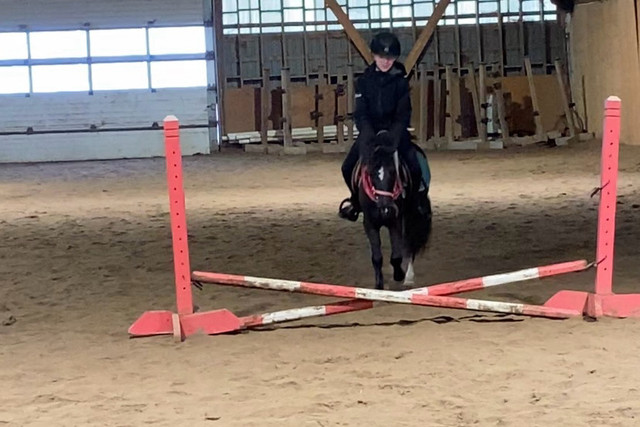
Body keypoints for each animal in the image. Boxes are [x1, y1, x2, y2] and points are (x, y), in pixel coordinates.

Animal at [352, 130, 432, 290]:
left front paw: (399, 274)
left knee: (410, 243)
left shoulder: (395, 222)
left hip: (411, 216)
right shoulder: (370, 224)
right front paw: (379, 285)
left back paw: (408, 277)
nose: (386, 209)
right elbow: (376, 257)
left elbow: (396, 255)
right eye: (371, 173)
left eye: (394, 172)